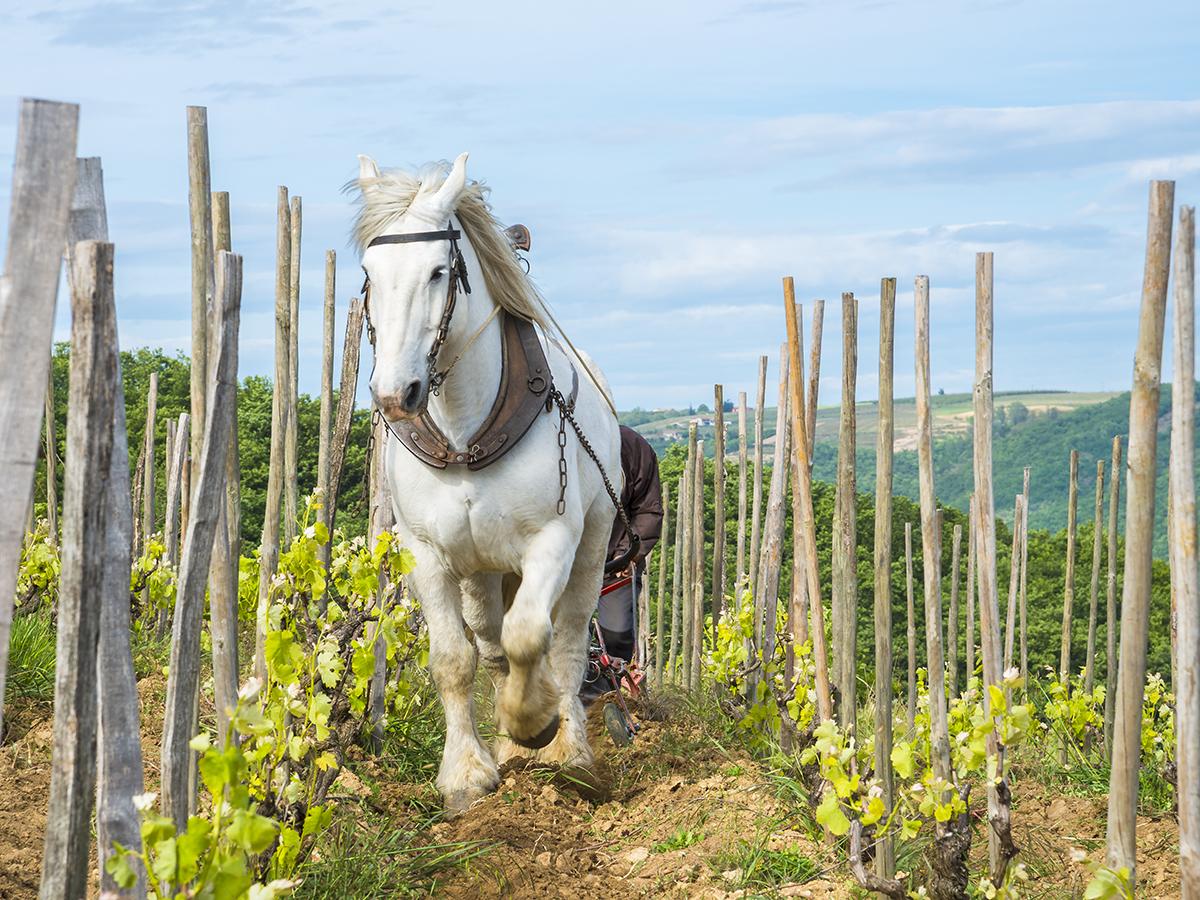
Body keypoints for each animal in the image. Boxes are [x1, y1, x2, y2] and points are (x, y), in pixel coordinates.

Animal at [350, 154, 624, 816]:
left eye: (437, 272)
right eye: (369, 273)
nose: (395, 396)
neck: (464, 438)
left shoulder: (552, 539)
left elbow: (532, 637)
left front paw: (537, 724)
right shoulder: (426, 553)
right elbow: (455, 659)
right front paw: (467, 773)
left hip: (592, 547)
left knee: (567, 640)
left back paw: (567, 747)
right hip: (479, 571)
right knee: (491, 643)